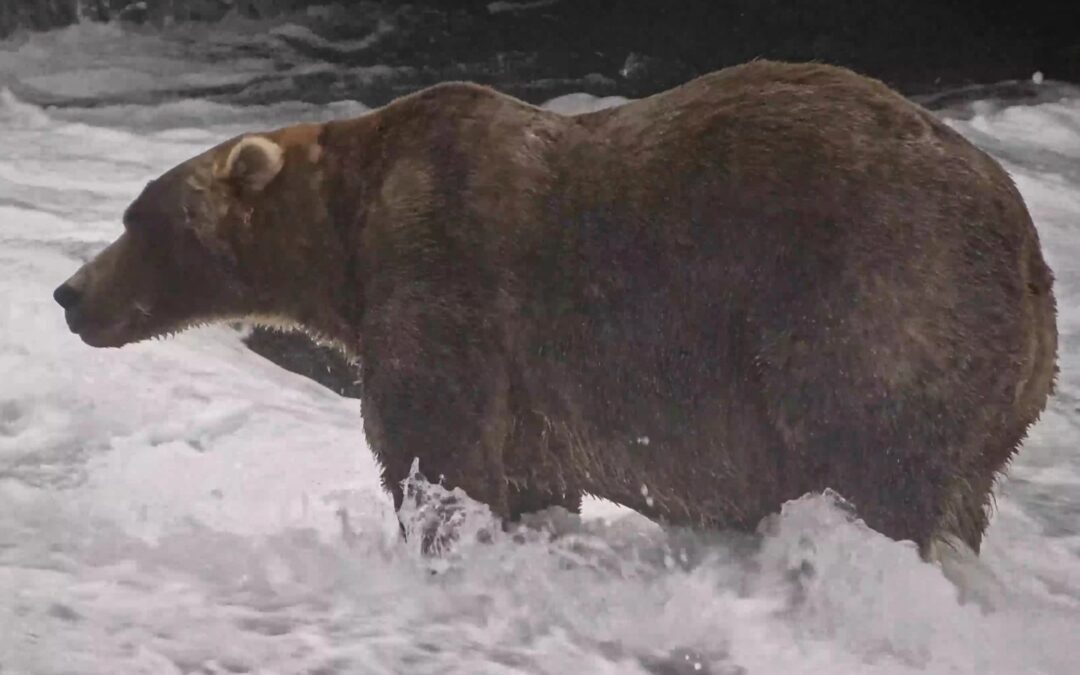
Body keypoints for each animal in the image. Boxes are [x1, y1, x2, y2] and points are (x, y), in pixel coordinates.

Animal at [54, 60, 1057, 558]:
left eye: (137, 218)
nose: (69, 293)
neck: (345, 233)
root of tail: (1029, 250)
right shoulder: (531, 388)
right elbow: (529, 474)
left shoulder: (444, 270)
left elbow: (435, 445)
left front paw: (439, 537)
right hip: (1001, 391)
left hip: (874, 298)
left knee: (872, 457)